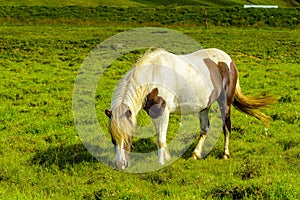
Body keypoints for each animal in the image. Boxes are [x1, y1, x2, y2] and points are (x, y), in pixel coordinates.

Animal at [103, 47, 274, 170]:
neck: (153, 77)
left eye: (128, 137)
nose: (120, 165)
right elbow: (160, 136)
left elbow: (160, 139)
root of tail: (229, 60)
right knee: (205, 129)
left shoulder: (163, 111)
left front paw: (161, 162)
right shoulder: (154, 113)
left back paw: (225, 154)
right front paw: (168, 157)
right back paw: (196, 154)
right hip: (205, 106)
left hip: (225, 102)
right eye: (113, 138)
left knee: (226, 126)